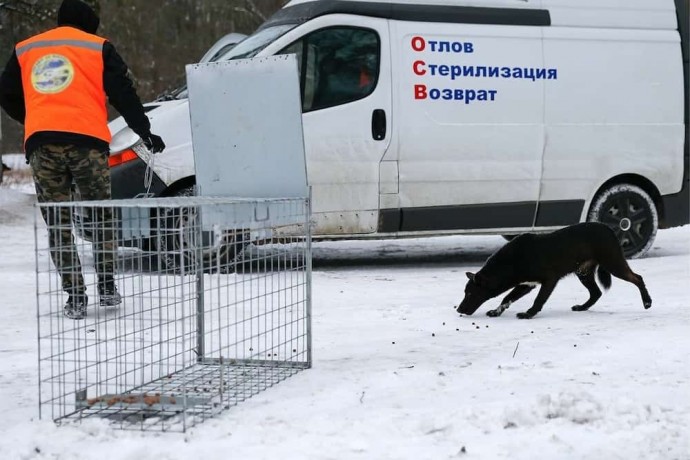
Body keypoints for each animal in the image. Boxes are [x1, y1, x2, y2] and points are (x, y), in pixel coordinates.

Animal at [456, 224, 652, 320]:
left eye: (470, 293)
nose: (459, 309)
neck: (513, 260)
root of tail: (609, 229)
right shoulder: (526, 284)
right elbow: (506, 298)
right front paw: (496, 312)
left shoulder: (549, 280)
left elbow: (539, 300)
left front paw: (529, 314)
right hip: (583, 272)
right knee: (596, 293)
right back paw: (582, 307)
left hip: (613, 262)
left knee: (638, 278)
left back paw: (647, 301)